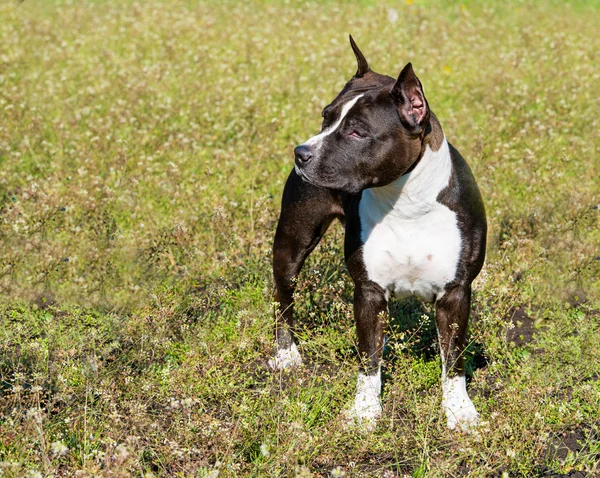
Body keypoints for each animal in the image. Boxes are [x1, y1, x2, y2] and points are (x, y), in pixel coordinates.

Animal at [272, 33, 488, 430]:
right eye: (325, 117)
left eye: (358, 131)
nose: (301, 152)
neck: (406, 203)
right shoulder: (368, 290)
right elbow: (367, 362)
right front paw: (364, 412)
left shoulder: (455, 292)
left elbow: (453, 360)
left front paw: (459, 411)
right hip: (293, 241)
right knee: (283, 293)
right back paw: (286, 353)